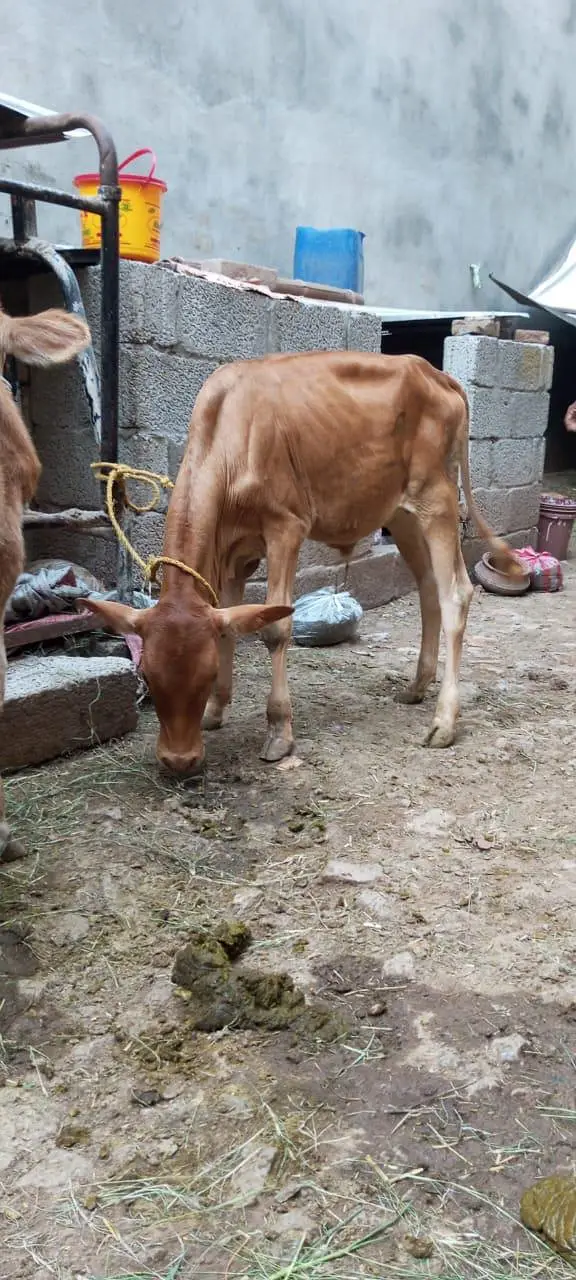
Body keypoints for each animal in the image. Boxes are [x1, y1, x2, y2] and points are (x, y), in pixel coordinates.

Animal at [82, 351, 523, 775]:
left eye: (203, 677)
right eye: (147, 678)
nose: (178, 761)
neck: (229, 435)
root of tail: (436, 374)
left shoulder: (285, 527)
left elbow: (276, 628)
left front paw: (279, 731)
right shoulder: (234, 552)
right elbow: (228, 624)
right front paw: (216, 711)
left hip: (437, 498)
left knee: (455, 594)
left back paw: (443, 722)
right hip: (402, 513)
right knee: (429, 587)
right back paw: (416, 687)